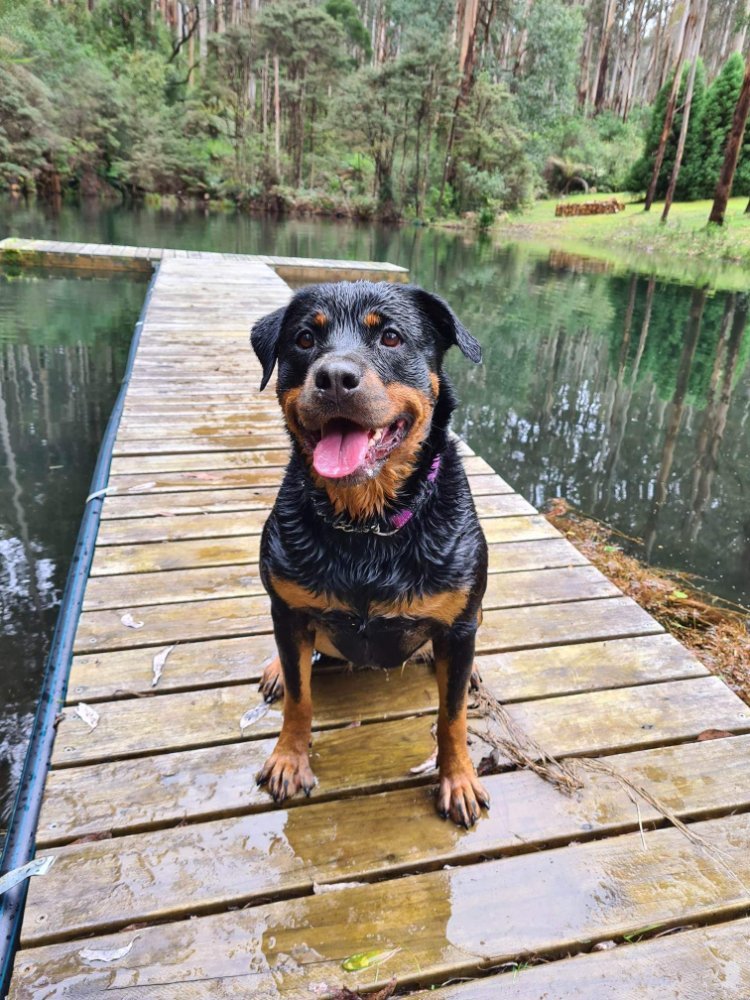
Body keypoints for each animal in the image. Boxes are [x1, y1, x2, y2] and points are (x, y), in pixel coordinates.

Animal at [249, 281, 490, 827]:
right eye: (303, 338)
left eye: (392, 337)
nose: (335, 377)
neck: (366, 525)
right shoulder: (288, 609)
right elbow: (300, 698)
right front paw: (289, 758)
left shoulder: (458, 623)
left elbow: (452, 717)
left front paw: (459, 779)